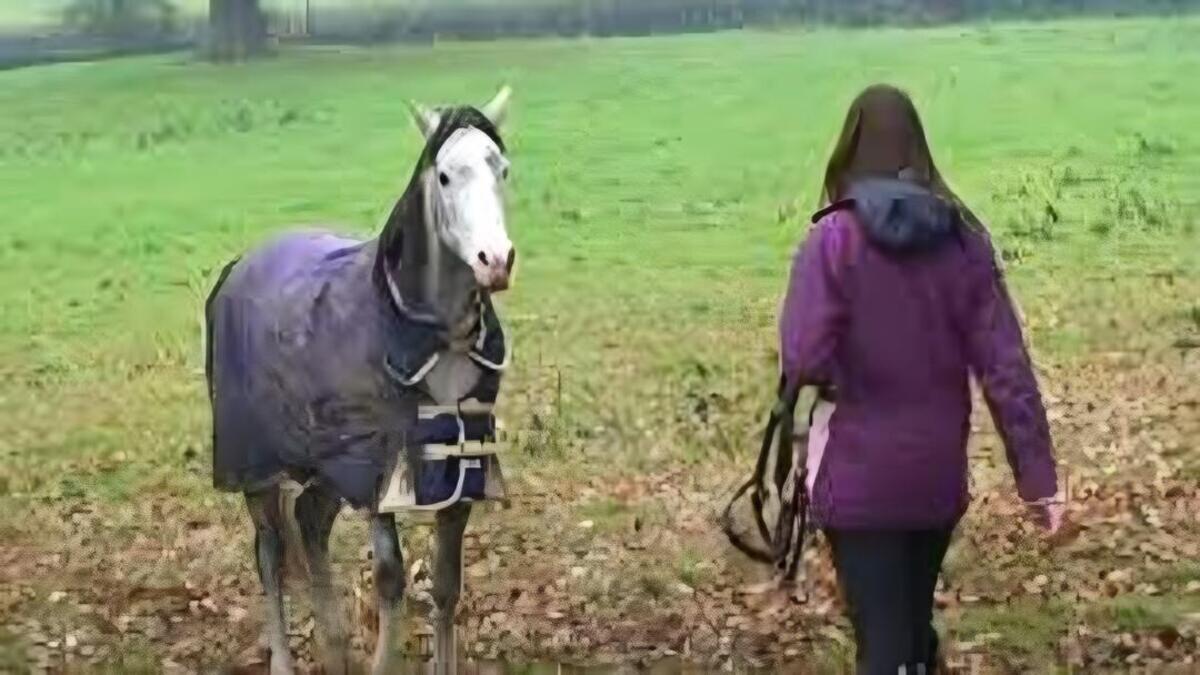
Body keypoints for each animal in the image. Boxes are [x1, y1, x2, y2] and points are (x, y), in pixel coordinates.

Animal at [202, 86, 520, 667]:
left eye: (501, 169)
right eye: (444, 175)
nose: (496, 261)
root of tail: (240, 263)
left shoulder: (461, 471)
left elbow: (446, 584)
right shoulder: (377, 473)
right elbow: (391, 579)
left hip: (327, 465)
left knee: (309, 522)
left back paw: (334, 650)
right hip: (256, 466)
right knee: (270, 552)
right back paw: (284, 661)